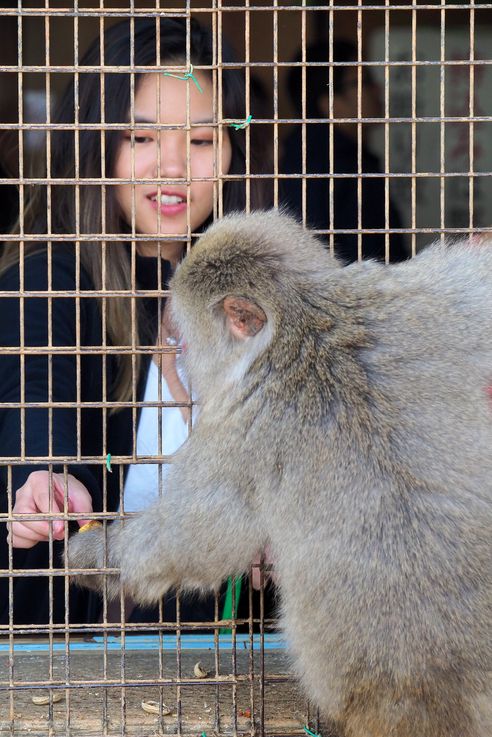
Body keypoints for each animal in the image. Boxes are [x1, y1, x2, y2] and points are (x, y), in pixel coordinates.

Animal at [67, 210, 492, 737]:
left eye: (185, 331)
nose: (180, 351)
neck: (301, 322)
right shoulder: (407, 291)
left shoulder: (237, 424)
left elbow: (189, 540)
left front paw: (93, 556)